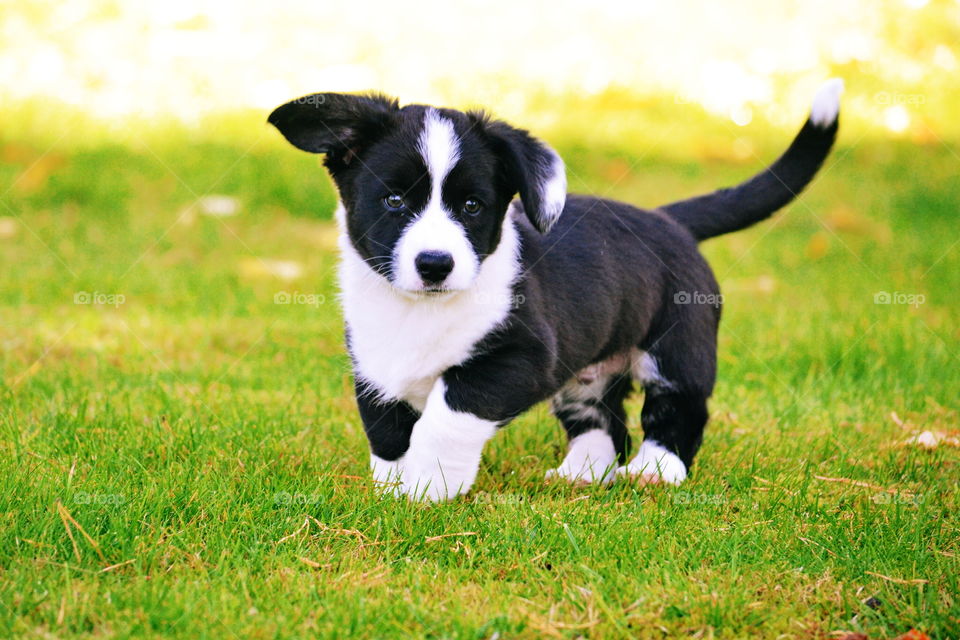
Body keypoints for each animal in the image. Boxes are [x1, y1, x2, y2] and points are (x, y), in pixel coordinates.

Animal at [268, 79, 840, 500]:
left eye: (472, 206)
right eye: (393, 200)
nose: (434, 264)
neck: (420, 310)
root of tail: (667, 219)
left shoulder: (519, 358)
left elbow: (446, 416)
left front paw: (431, 487)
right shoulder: (374, 367)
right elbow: (387, 431)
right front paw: (393, 489)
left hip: (677, 345)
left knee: (678, 407)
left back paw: (656, 469)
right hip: (586, 372)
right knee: (604, 422)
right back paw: (582, 473)